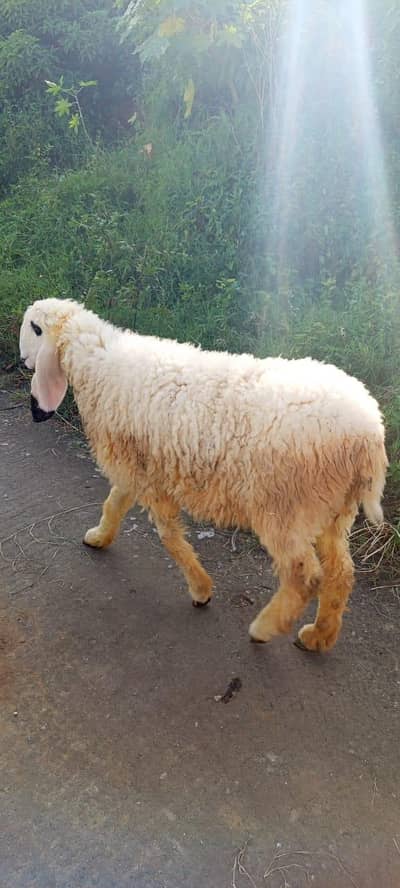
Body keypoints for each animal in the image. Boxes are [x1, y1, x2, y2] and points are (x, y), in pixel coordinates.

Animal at [19, 297, 388, 652]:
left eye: (33, 327)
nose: (23, 359)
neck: (97, 364)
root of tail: (368, 436)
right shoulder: (136, 467)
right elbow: (115, 503)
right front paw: (99, 537)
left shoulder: (148, 476)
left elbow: (168, 534)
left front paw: (200, 589)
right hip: (331, 509)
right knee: (341, 571)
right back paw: (318, 637)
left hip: (285, 506)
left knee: (305, 576)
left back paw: (263, 629)